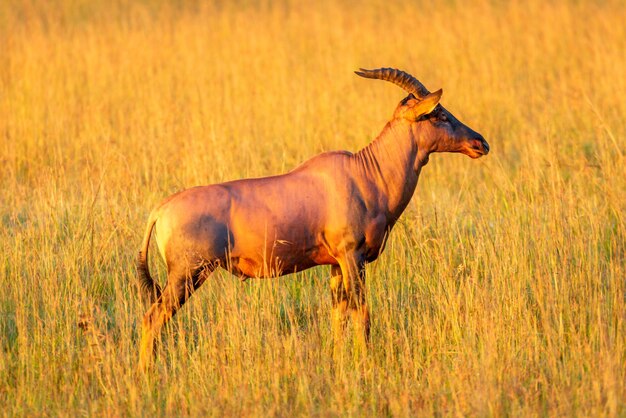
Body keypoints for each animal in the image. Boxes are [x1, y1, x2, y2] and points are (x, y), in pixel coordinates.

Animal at [136, 67, 488, 368]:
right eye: (438, 114)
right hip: (187, 274)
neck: (364, 172)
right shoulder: (352, 256)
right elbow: (362, 312)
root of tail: (161, 209)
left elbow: (338, 314)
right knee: (152, 318)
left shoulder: (335, 264)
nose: (480, 143)